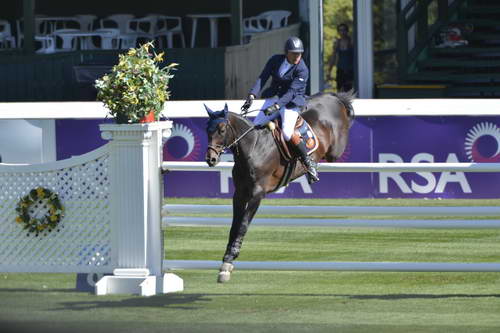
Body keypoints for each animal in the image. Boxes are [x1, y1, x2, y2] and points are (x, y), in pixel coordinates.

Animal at [204, 90, 356, 280]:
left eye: (222, 130)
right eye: (207, 130)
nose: (211, 159)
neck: (254, 148)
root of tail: (332, 96)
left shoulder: (257, 193)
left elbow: (244, 224)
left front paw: (231, 256)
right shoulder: (239, 193)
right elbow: (235, 225)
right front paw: (226, 259)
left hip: (334, 150)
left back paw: (312, 168)